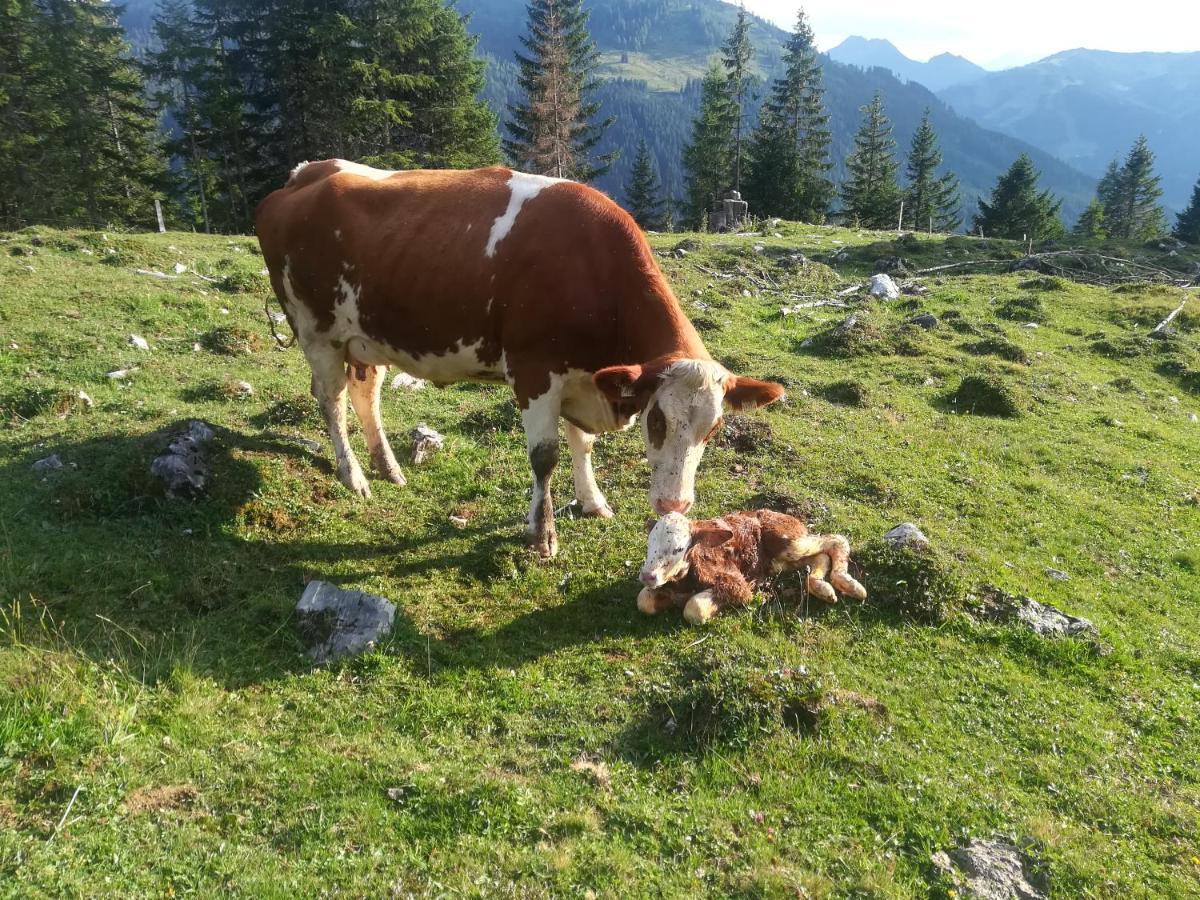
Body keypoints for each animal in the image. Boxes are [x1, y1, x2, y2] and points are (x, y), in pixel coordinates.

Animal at [254, 160, 782, 556]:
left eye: (713, 429)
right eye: (657, 420)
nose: (675, 504)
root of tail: (306, 173)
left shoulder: (582, 376)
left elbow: (583, 444)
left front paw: (592, 501)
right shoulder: (535, 371)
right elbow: (545, 456)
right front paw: (542, 534)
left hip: (367, 336)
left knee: (366, 393)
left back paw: (388, 468)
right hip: (317, 331)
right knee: (332, 399)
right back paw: (354, 476)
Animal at [638, 511, 864, 624]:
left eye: (678, 549)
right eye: (648, 544)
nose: (648, 576)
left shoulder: (736, 583)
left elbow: (694, 608)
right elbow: (643, 600)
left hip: (789, 541)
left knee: (837, 540)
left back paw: (850, 585)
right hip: (779, 562)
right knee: (820, 558)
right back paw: (822, 588)